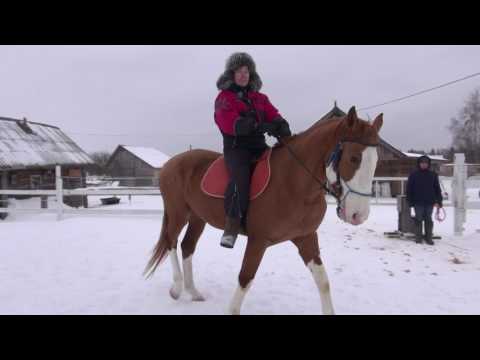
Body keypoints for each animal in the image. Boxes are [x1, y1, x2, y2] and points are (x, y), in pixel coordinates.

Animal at [142, 107, 382, 316]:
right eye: (354, 158)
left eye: (376, 161)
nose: (358, 215)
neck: (292, 183)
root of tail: (171, 163)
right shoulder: (258, 241)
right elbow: (245, 277)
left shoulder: (305, 237)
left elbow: (322, 281)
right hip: (178, 213)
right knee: (171, 241)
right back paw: (176, 288)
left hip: (197, 218)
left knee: (187, 247)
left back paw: (193, 292)